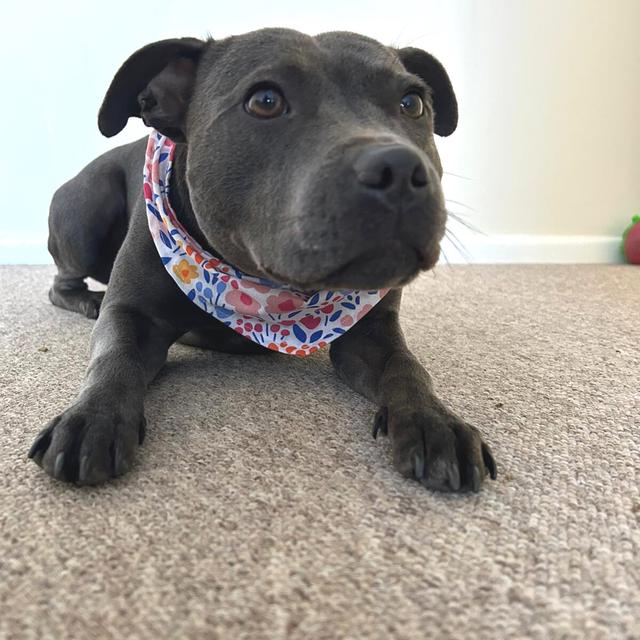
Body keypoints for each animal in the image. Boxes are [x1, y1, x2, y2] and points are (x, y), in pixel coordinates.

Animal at [27, 27, 498, 492]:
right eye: (265, 101)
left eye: (412, 103)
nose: (399, 168)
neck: (258, 289)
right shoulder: (130, 314)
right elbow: (114, 359)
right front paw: (93, 418)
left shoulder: (372, 333)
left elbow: (407, 367)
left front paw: (435, 422)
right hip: (87, 212)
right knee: (61, 283)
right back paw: (87, 301)